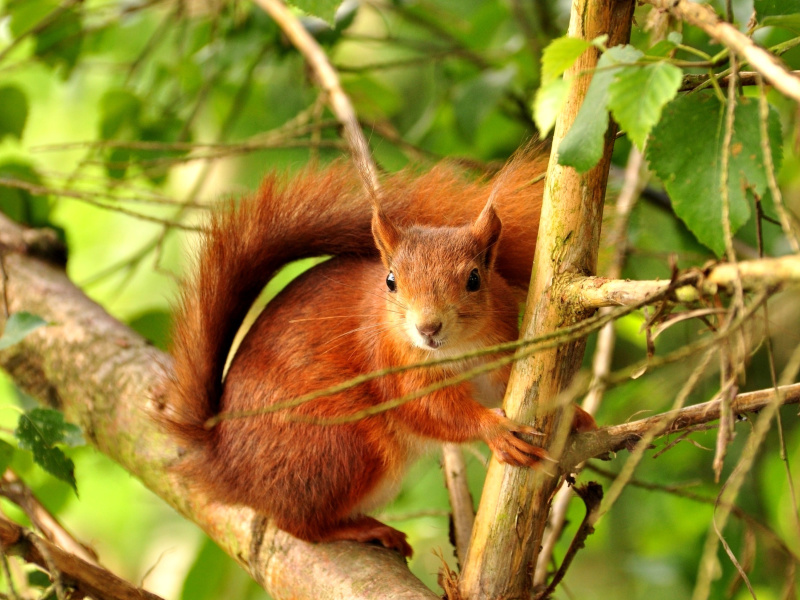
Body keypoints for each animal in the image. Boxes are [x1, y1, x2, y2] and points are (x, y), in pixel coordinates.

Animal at [164, 155, 592, 556]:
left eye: (474, 279)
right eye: (391, 281)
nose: (428, 328)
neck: (458, 350)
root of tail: (226, 467)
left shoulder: (498, 350)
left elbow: (507, 385)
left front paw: (574, 413)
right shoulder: (391, 363)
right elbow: (430, 409)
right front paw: (495, 430)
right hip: (342, 447)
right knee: (298, 525)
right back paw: (362, 529)